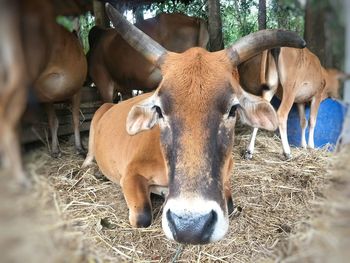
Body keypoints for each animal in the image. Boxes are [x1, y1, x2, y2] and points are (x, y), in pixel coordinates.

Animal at [82, 3, 306, 245]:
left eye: (233, 108)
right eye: (159, 110)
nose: (190, 226)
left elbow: (230, 205)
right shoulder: (130, 175)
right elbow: (142, 216)